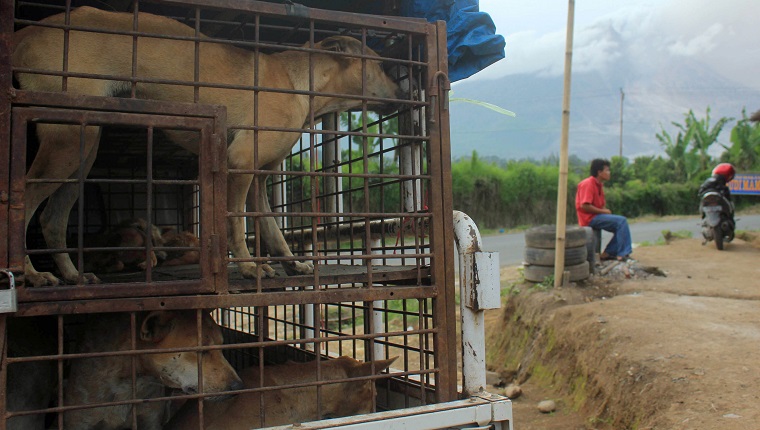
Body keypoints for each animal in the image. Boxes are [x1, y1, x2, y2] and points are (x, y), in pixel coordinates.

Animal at [11, 5, 404, 286]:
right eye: (382, 66)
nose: (404, 92)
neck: (300, 84)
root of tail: (24, 31)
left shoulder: (258, 178)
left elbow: (271, 228)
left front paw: (293, 264)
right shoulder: (240, 163)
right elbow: (236, 224)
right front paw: (248, 268)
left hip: (83, 147)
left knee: (51, 218)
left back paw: (71, 275)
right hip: (65, 144)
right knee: (22, 206)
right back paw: (29, 274)